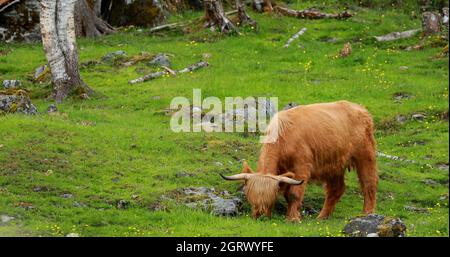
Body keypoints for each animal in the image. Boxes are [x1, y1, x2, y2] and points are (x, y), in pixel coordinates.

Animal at [220, 100, 378, 220]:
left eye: (271, 199)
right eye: (251, 199)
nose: (260, 216)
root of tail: (360, 108)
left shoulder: (301, 167)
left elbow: (294, 194)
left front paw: (293, 218)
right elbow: (287, 194)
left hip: (365, 155)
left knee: (369, 183)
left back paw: (367, 214)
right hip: (334, 164)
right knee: (336, 189)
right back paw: (322, 217)